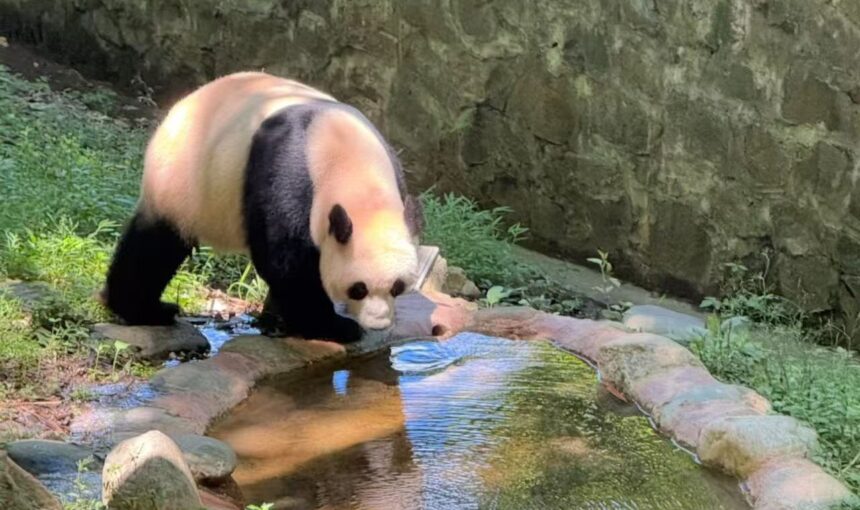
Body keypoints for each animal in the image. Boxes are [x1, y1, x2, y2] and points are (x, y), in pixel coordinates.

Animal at [101, 72, 423, 343]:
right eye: (359, 288)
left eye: (397, 287)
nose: (379, 324)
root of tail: (182, 105)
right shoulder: (288, 171)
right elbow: (287, 260)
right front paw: (332, 326)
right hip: (183, 181)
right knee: (155, 246)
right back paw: (144, 310)